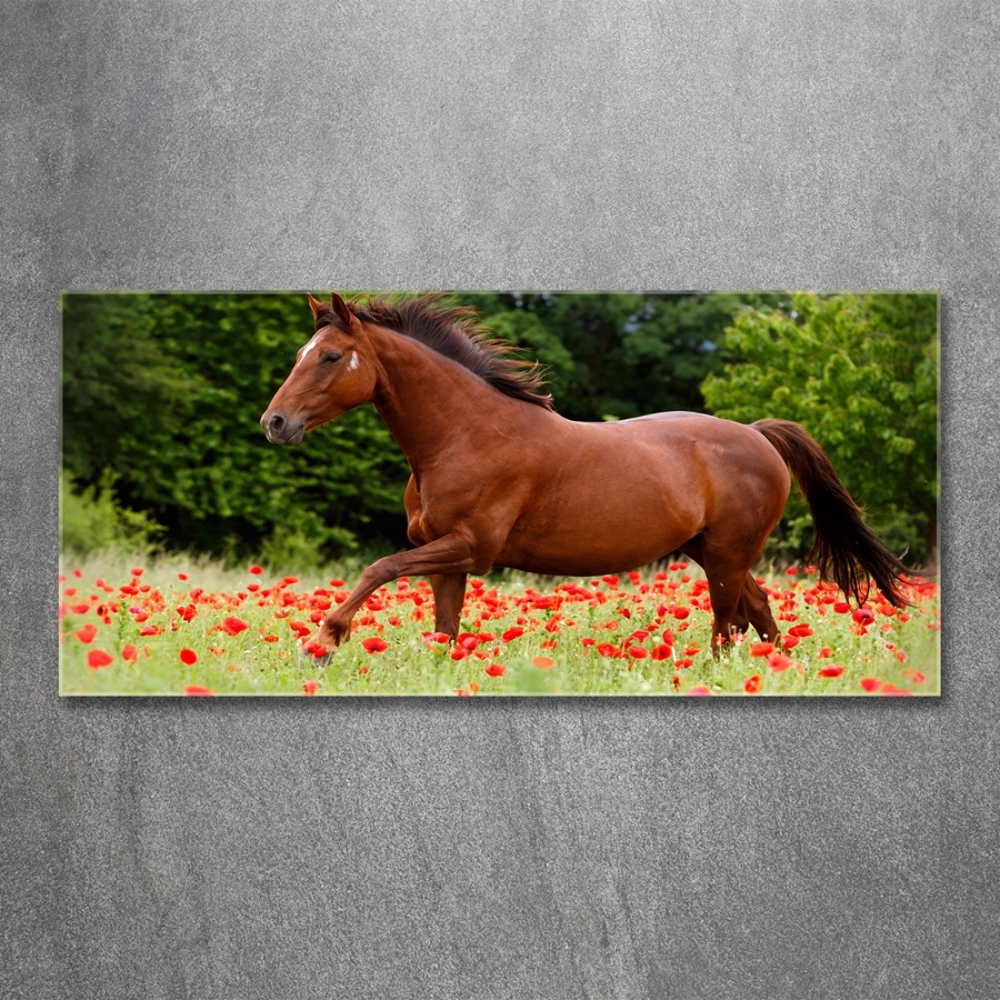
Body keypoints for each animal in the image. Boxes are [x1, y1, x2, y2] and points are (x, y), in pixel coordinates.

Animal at [260, 292, 916, 660]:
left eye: (329, 356)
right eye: (299, 354)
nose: (275, 422)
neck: (464, 434)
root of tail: (758, 435)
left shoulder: (470, 548)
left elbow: (379, 567)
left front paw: (324, 641)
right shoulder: (446, 558)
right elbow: (445, 632)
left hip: (727, 556)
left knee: (727, 624)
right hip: (711, 551)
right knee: (757, 613)